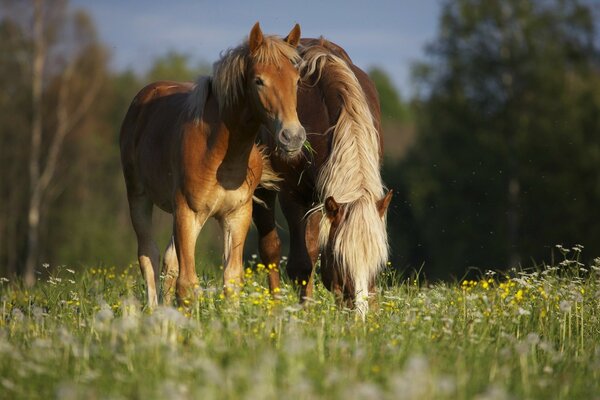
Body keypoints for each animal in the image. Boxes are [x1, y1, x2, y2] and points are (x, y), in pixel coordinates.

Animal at [118, 22, 304, 306]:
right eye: (259, 81)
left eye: (296, 80)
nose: (292, 136)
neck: (220, 153)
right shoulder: (188, 211)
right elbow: (187, 283)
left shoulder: (236, 215)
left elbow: (232, 279)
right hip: (140, 198)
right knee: (148, 255)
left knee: (169, 261)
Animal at [253, 37, 394, 314]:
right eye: (341, 259)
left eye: (378, 262)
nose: (359, 315)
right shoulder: (293, 195)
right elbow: (300, 265)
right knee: (271, 250)